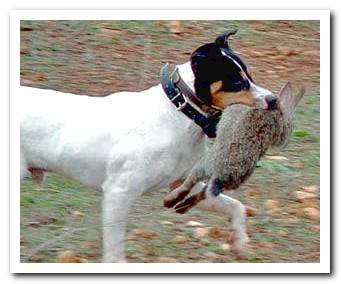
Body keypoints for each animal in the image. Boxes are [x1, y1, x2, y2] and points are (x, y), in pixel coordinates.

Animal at [19, 31, 276, 262]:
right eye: (237, 81)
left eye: (250, 75)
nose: (273, 99)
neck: (178, 113)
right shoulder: (118, 194)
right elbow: (114, 254)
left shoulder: (184, 186)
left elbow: (237, 207)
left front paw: (239, 242)